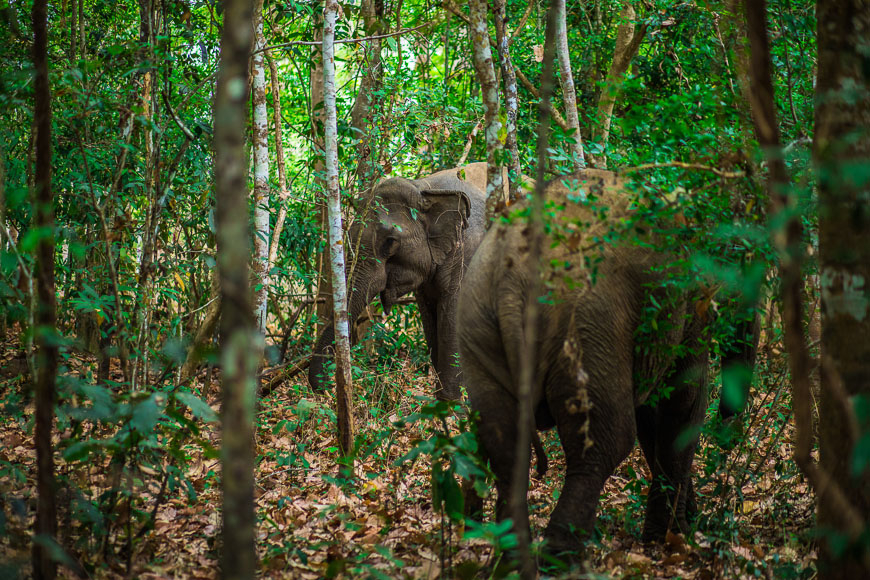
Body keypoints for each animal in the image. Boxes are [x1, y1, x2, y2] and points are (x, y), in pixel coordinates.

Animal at [308, 162, 498, 398]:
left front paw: (451, 405)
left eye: (390, 242)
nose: (326, 389)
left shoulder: (469, 252)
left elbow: (453, 318)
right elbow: (430, 319)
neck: (424, 188)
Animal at [456, 169, 756, 556]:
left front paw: (680, 527)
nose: (728, 436)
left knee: (505, 447)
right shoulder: (686, 306)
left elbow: (653, 417)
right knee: (605, 444)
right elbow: (682, 404)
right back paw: (559, 559)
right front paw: (673, 540)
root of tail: (511, 276)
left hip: (478, 321)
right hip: (587, 328)